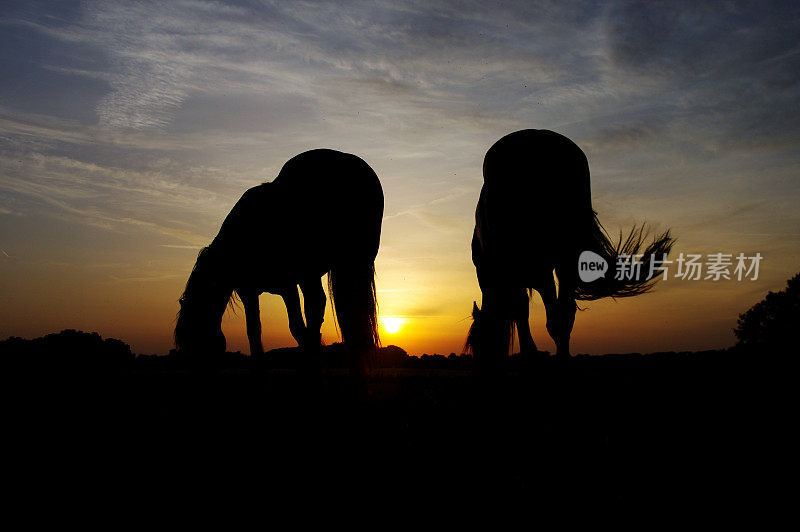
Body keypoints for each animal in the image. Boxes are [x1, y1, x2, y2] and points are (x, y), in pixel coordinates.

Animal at [174, 148, 384, 376]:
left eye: (195, 337)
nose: (197, 373)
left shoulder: (288, 284)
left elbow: (296, 327)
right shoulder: (249, 291)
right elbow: (254, 329)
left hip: (318, 270)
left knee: (319, 308)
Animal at [466, 131, 672, 368]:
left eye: (476, 343)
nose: (480, 363)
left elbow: (521, 311)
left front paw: (530, 354)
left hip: (545, 264)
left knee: (557, 313)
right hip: (567, 258)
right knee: (564, 312)